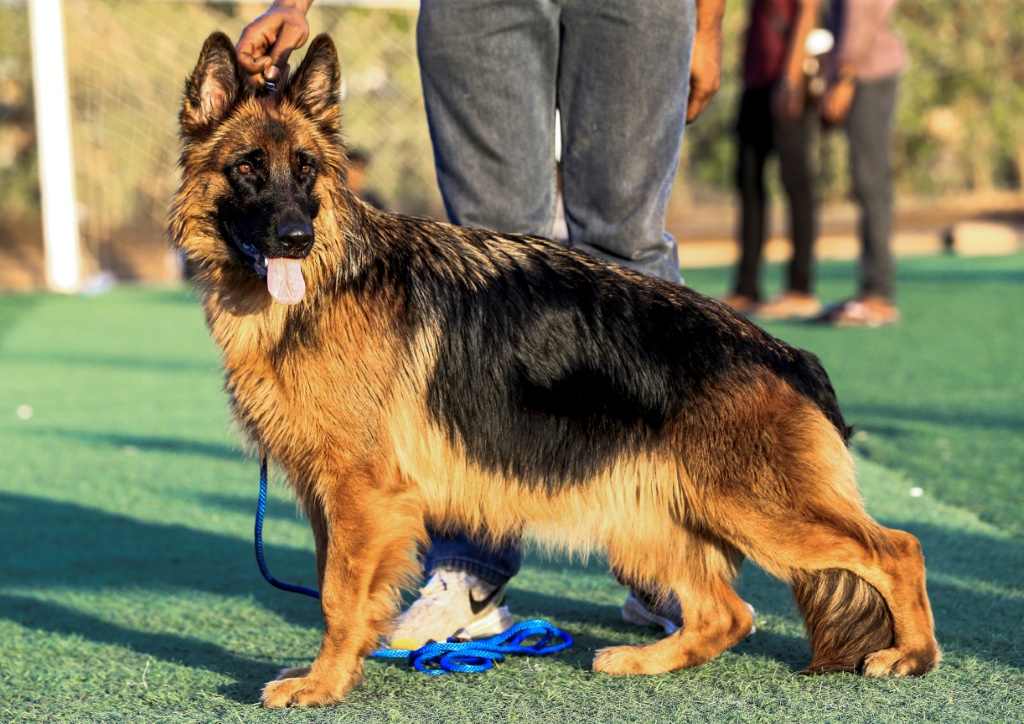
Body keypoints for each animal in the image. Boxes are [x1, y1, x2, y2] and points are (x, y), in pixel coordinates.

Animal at [172, 31, 937, 704]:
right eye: (248, 167)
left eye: (306, 170)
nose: (296, 239)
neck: (331, 280)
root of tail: (787, 353)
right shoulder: (328, 497)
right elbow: (340, 592)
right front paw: (342, 669)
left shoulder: (363, 495)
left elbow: (337, 594)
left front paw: (324, 685)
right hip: (648, 521)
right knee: (727, 612)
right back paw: (645, 661)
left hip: (758, 510)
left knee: (896, 548)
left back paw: (912, 655)